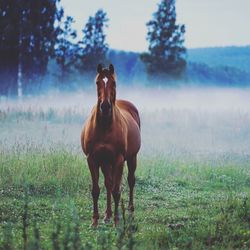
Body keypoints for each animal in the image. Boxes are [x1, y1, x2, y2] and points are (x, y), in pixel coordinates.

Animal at [81, 63, 141, 226]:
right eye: (97, 82)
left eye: (114, 83)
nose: (105, 106)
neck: (104, 127)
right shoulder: (92, 159)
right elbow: (96, 189)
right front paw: (95, 220)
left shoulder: (119, 159)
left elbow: (116, 190)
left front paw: (116, 221)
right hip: (105, 162)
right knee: (108, 183)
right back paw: (107, 215)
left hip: (131, 158)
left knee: (130, 181)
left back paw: (130, 210)